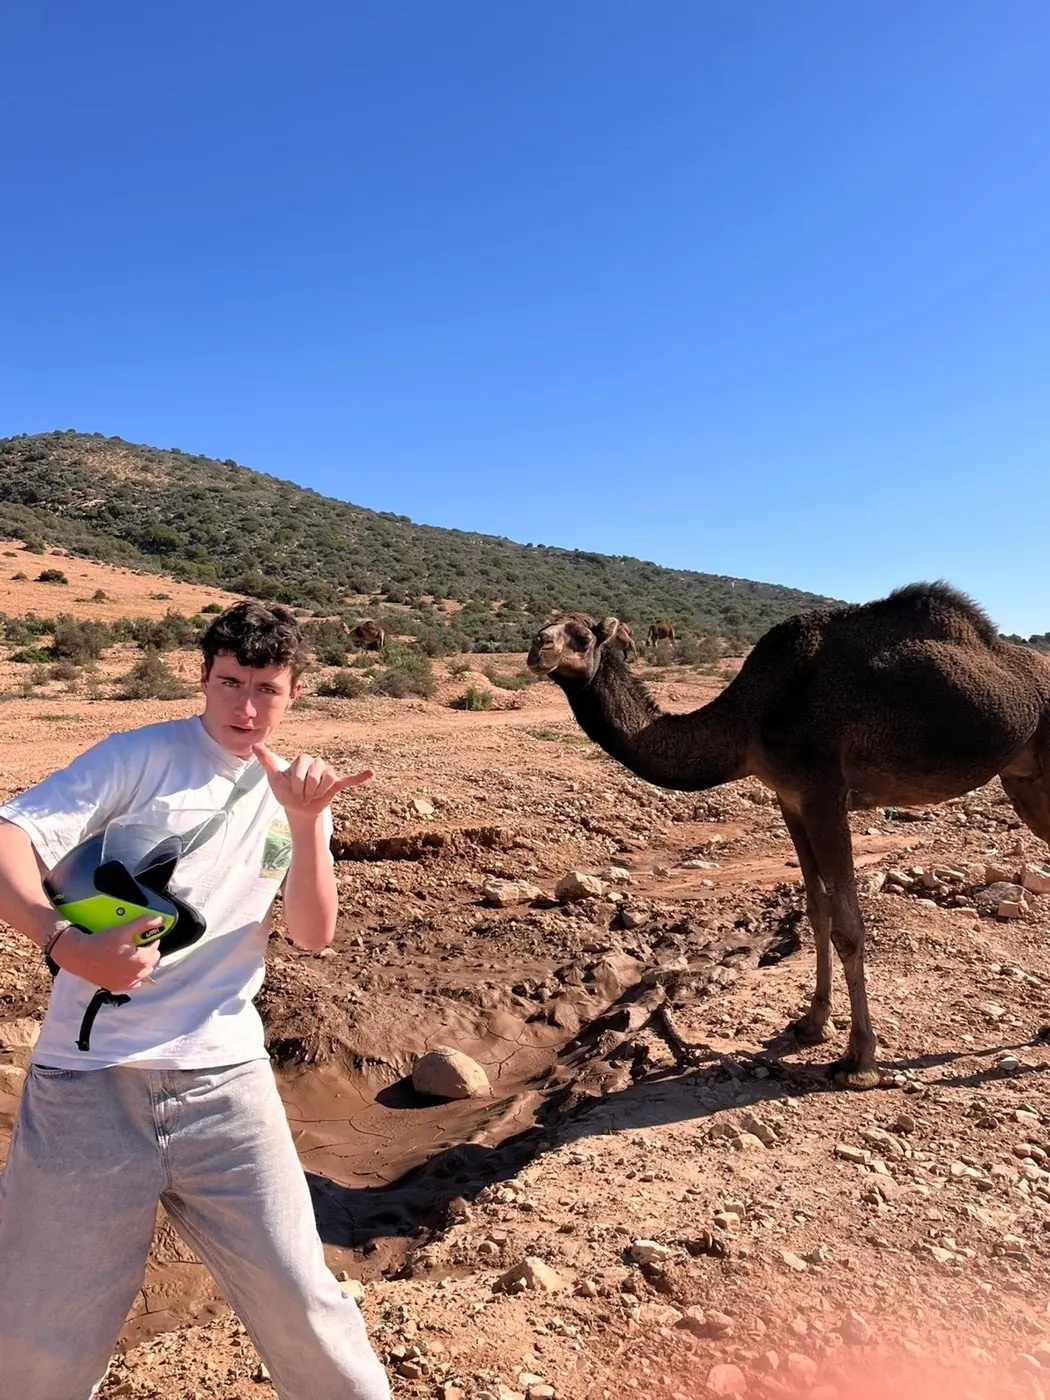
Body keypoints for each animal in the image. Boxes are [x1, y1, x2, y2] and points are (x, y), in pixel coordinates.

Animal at [528, 583, 1050, 1088]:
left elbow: (848, 928)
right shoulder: (789, 798)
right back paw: (1045, 1029)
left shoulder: (824, 792)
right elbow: (817, 911)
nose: (538, 647)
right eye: (545, 625)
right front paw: (812, 1023)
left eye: (581, 637)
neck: (753, 718)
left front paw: (859, 1063)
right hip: (1022, 782)